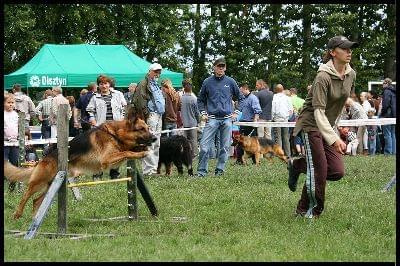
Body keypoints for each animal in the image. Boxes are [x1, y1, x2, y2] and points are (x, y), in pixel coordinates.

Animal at [3, 115, 156, 219]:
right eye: (141, 129)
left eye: (148, 128)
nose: (154, 138)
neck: (115, 134)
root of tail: (42, 160)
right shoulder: (107, 160)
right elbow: (126, 152)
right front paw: (142, 153)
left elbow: (128, 151)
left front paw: (141, 151)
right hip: (39, 182)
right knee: (25, 196)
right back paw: (17, 214)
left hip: (51, 186)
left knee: (36, 201)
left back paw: (36, 219)